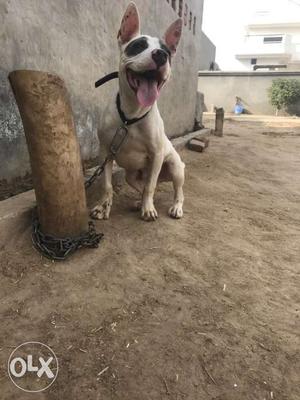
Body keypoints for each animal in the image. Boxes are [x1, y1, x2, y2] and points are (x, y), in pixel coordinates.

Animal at [91, 2, 185, 222]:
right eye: (139, 46)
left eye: (167, 52)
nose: (160, 55)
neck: (131, 117)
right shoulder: (105, 153)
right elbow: (106, 185)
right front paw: (103, 207)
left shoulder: (157, 155)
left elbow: (150, 187)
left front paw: (148, 209)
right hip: (131, 175)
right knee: (141, 186)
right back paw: (137, 203)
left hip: (175, 168)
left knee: (176, 191)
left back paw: (175, 207)